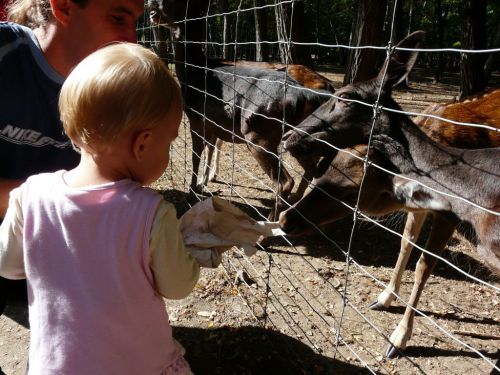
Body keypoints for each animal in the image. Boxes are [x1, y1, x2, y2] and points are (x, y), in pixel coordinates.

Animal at [152, 0, 332, 219]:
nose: (151, 8)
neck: (193, 70)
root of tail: (306, 93)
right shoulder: (214, 125)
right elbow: (210, 151)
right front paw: (204, 183)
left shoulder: (196, 118)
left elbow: (196, 155)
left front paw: (192, 193)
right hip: (299, 136)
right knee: (313, 169)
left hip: (258, 134)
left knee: (285, 181)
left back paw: (270, 222)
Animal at [280, 30, 498, 358]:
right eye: (329, 166)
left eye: (344, 96)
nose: (287, 135)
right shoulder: (421, 206)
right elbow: (405, 245)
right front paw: (383, 299)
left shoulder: (446, 216)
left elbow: (424, 265)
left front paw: (398, 339)